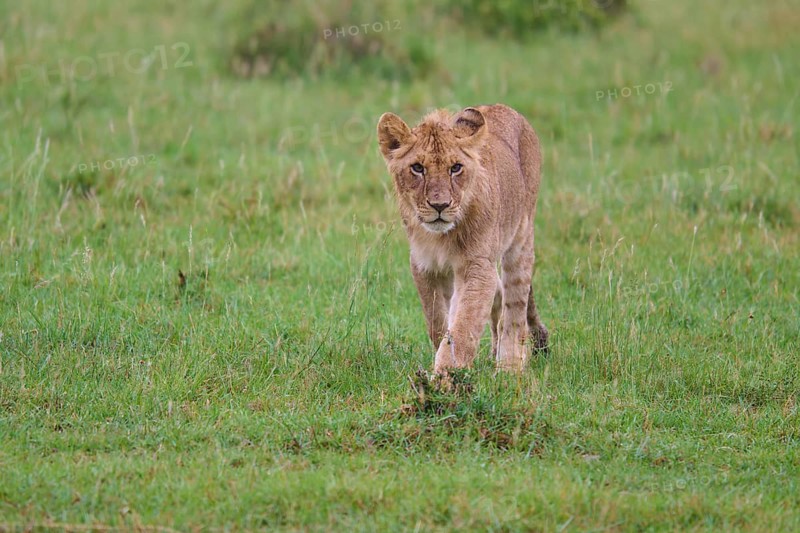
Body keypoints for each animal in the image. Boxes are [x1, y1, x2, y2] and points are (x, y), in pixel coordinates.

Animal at [376, 104, 548, 373]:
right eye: (418, 168)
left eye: (456, 167)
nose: (440, 205)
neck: (441, 238)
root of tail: (505, 107)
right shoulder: (425, 266)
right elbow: (438, 321)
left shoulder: (475, 266)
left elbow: (464, 323)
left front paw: (446, 375)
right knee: (499, 296)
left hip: (521, 238)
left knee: (514, 308)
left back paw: (509, 366)